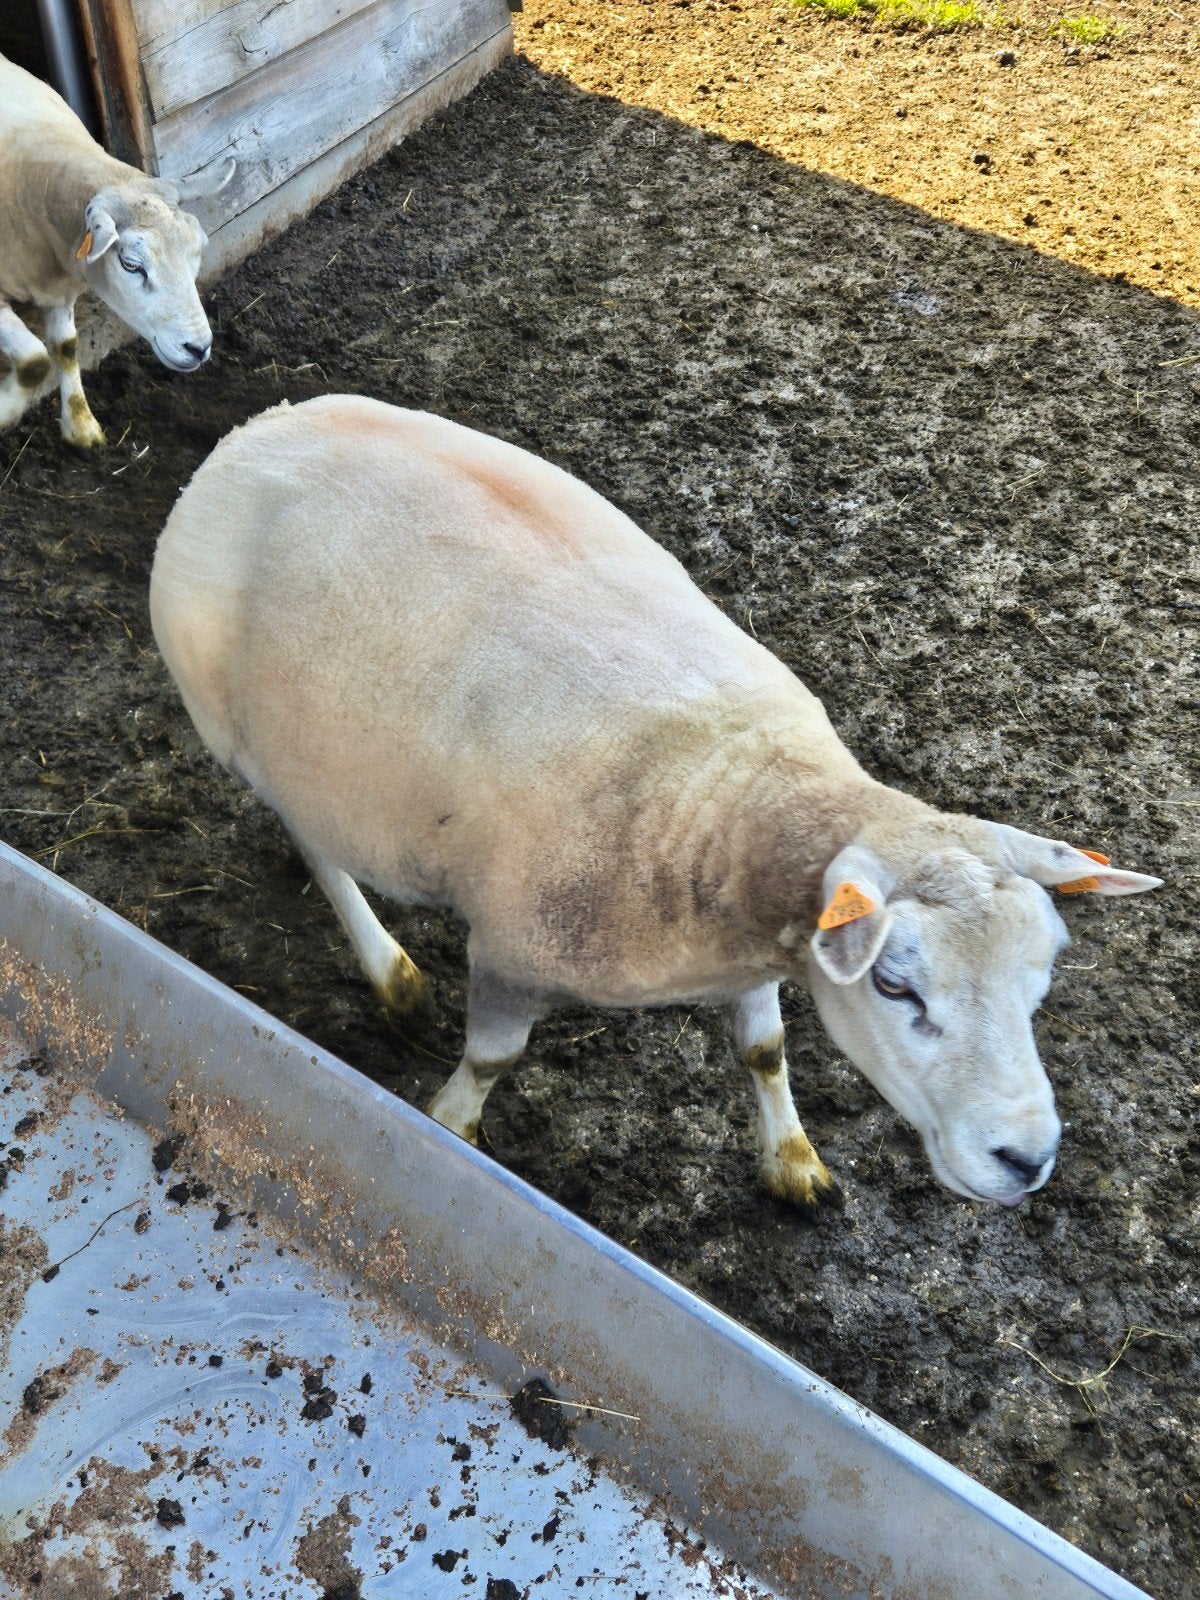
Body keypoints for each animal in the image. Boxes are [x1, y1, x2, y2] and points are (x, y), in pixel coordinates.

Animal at [0, 53, 233, 449]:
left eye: (199, 251)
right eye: (130, 264)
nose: (198, 349)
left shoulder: (60, 289)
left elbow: (65, 347)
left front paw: (81, 427)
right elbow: (34, 361)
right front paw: (4, 411)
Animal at [149, 395, 1162, 1213]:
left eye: (1043, 974)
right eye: (894, 985)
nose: (1028, 1159)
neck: (735, 786)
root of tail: (255, 431)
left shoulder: (763, 941)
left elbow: (766, 1050)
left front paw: (793, 1160)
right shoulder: (512, 948)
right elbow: (492, 1061)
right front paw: (448, 1124)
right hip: (246, 737)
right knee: (317, 849)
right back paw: (389, 970)